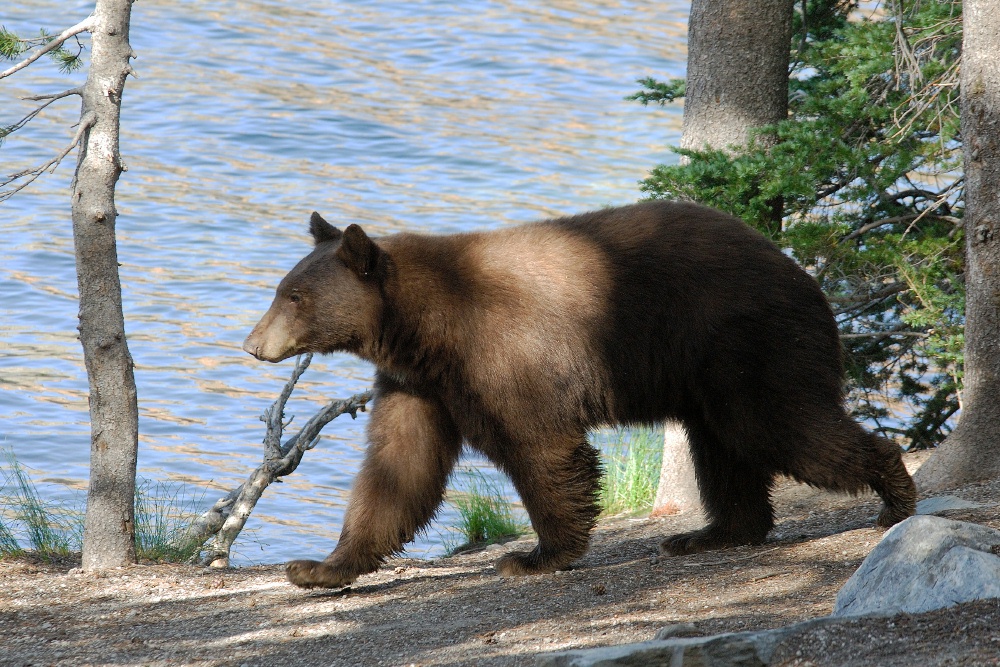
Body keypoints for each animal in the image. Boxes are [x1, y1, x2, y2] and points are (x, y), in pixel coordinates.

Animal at [242, 200, 916, 588]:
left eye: (293, 296)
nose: (252, 344)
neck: (425, 328)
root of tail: (805, 275)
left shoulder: (503, 352)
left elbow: (541, 447)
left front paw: (536, 555)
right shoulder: (419, 384)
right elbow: (398, 467)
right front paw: (319, 568)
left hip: (745, 340)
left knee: (781, 425)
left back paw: (894, 493)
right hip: (708, 373)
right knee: (723, 448)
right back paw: (710, 533)